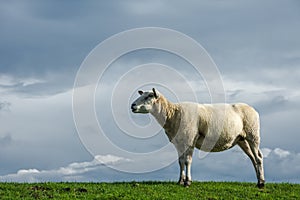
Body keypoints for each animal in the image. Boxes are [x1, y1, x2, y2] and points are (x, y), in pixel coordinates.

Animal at [131, 87, 264, 188]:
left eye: (149, 96)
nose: (132, 105)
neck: (172, 114)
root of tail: (252, 108)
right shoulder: (179, 143)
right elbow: (180, 161)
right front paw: (180, 181)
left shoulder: (190, 140)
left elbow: (187, 161)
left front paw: (187, 182)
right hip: (242, 139)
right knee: (253, 158)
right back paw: (258, 181)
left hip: (253, 135)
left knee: (258, 157)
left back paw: (261, 183)